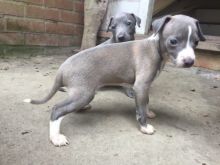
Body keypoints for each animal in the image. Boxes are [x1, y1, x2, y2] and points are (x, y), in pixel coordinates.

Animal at [24, 14, 206, 146]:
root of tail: (62, 68)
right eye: (173, 41)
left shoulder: (145, 87)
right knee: (57, 110)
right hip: (83, 93)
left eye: (196, 42)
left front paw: (148, 112)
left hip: (80, 94)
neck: (155, 47)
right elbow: (141, 108)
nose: (189, 61)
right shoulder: (140, 85)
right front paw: (144, 126)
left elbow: (145, 102)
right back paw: (56, 138)